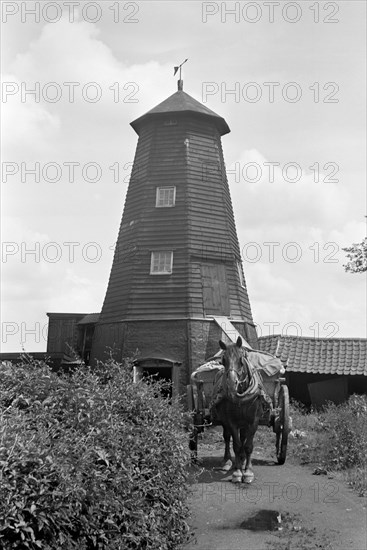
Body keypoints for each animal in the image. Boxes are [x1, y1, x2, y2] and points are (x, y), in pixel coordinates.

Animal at [213, 338, 264, 486]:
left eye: (241, 359)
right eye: (223, 360)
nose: (231, 383)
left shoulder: (253, 421)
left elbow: (248, 446)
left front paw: (247, 472)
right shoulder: (231, 421)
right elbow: (236, 444)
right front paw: (237, 473)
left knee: (244, 439)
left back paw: (243, 460)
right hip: (226, 421)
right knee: (227, 437)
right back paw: (229, 461)